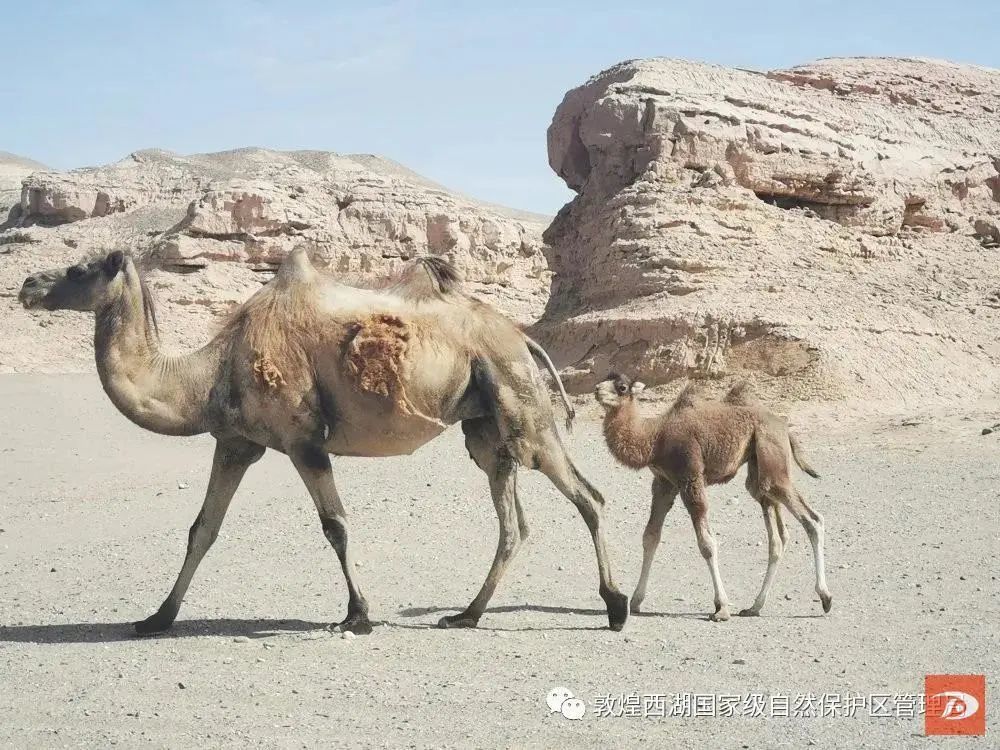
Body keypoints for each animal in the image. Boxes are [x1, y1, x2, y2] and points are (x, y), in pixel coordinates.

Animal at [592, 374, 828, 624]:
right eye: (606, 378)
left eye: (621, 387)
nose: (596, 389)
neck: (655, 438)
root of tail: (784, 427)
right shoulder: (664, 483)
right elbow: (650, 537)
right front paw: (636, 601)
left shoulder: (690, 477)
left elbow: (706, 544)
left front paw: (721, 607)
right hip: (759, 470)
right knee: (778, 536)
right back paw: (754, 607)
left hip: (772, 460)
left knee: (812, 520)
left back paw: (825, 597)